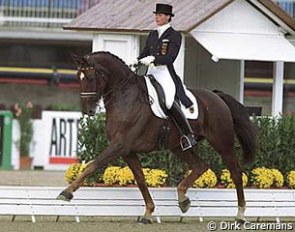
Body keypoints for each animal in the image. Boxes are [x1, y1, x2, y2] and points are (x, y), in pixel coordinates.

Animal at [57, 51, 256, 223]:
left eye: (90, 78)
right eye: (78, 77)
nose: (87, 111)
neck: (124, 96)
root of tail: (217, 96)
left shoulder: (120, 145)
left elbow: (92, 165)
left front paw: (66, 193)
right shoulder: (127, 151)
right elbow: (140, 180)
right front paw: (148, 213)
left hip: (222, 142)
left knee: (236, 173)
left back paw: (240, 215)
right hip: (178, 147)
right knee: (200, 165)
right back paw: (183, 199)